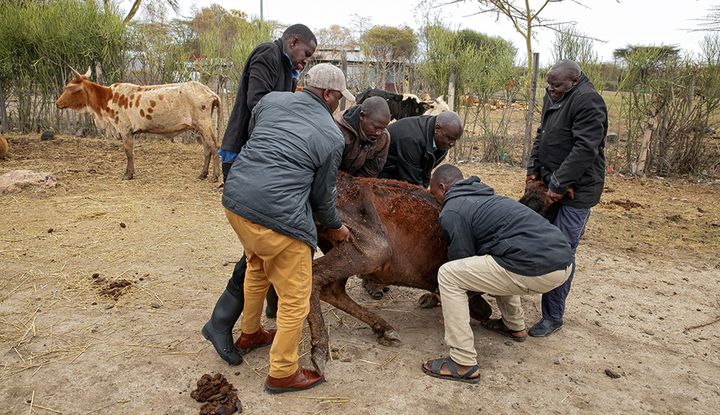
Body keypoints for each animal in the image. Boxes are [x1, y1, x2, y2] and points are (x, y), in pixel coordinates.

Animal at [56, 67, 221, 181]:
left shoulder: (125, 129)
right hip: (199, 127)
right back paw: (202, 174)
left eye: (69, 89)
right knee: (207, 148)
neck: (107, 98)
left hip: (204, 124)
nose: (57, 103)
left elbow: (128, 152)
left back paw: (215, 176)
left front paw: (128, 174)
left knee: (214, 146)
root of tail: (210, 92)